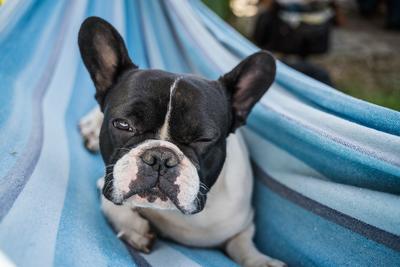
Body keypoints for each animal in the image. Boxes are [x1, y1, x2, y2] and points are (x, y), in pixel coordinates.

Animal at [77, 17, 284, 267]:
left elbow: (243, 245)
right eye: (123, 125)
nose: (159, 157)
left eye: (204, 138)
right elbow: (111, 206)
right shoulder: (108, 182)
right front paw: (136, 229)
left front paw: (262, 260)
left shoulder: (241, 223)